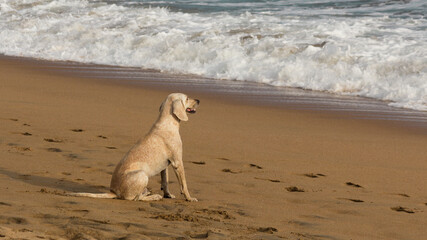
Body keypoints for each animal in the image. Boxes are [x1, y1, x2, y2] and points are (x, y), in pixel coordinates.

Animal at [67, 93, 201, 202]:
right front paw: (189, 198)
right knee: (135, 198)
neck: (167, 123)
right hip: (142, 175)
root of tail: (113, 192)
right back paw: (153, 196)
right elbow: (184, 184)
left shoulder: (166, 166)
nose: (199, 100)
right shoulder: (177, 162)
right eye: (187, 98)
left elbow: (165, 182)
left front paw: (168, 195)